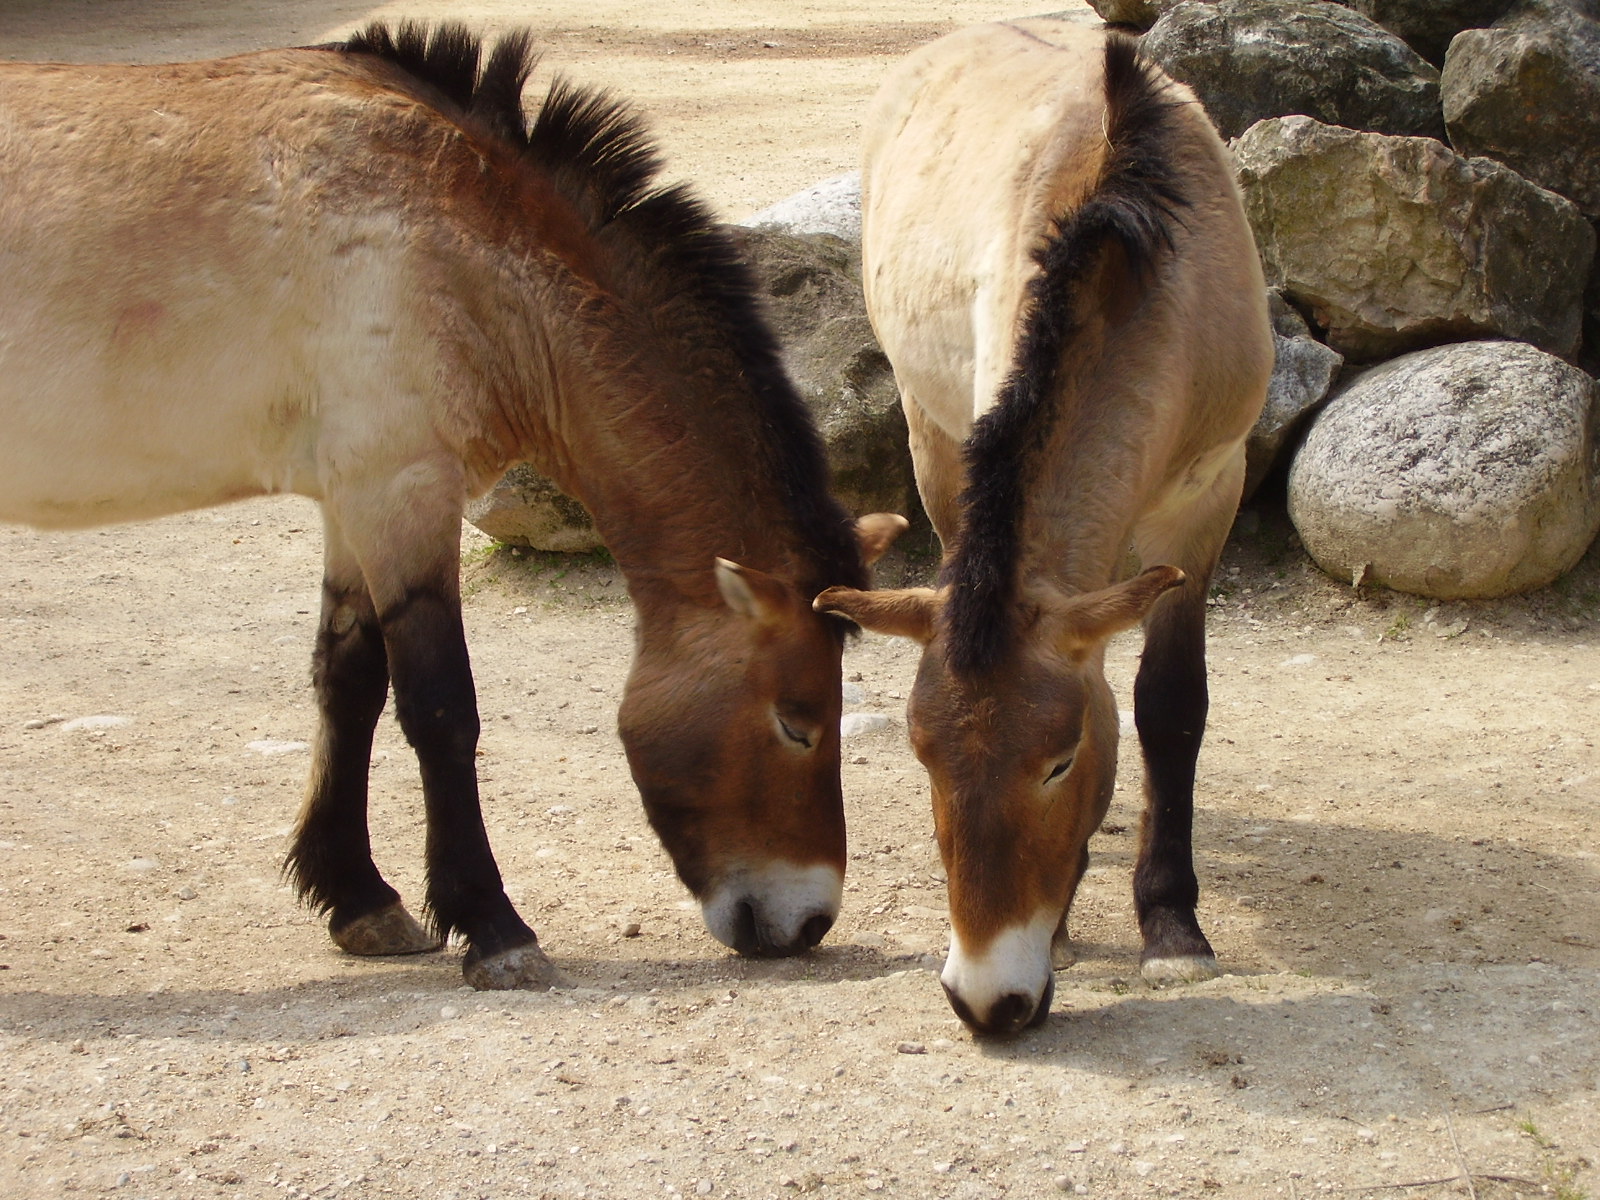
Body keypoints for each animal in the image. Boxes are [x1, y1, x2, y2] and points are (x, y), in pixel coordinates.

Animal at [0, 22, 904, 990]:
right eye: (796, 723)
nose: (808, 921)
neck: (454, 231)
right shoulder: (401, 489)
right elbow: (441, 708)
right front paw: (493, 925)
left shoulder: (353, 499)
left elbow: (349, 682)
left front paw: (358, 898)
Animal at [816, 20, 1272, 1035]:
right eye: (922, 757)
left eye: (1062, 761)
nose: (989, 1000)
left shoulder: (1207, 500)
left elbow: (1170, 706)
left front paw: (1171, 924)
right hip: (931, 435)